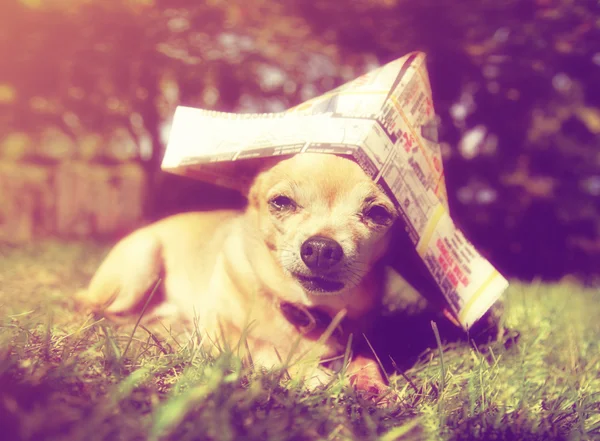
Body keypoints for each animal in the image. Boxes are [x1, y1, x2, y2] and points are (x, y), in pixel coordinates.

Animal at [79, 153, 398, 390]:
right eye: (282, 202)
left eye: (378, 213)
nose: (321, 248)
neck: (303, 308)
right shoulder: (220, 330)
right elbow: (262, 347)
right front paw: (308, 372)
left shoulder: (359, 339)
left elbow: (367, 358)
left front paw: (373, 386)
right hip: (142, 262)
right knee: (99, 312)